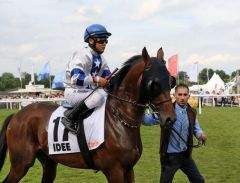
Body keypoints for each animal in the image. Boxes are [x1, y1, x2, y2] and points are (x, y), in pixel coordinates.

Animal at [0, 47, 176, 183]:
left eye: (171, 80)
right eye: (154, 83)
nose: (170, 118)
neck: (119, 120)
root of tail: (16, 115)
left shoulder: (128, 169)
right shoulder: (114, 171)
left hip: (48, 162)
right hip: (21, 163)